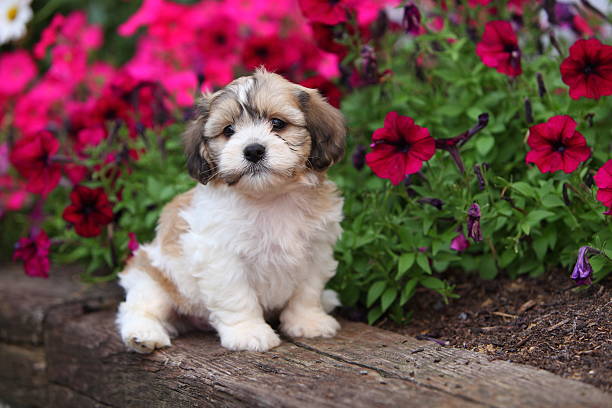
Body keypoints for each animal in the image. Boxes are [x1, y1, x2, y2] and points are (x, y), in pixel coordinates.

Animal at [115, 68, 344, 352]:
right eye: (229, 130)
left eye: (278, 123)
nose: (253, 150)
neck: (270, 197)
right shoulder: (221, 257)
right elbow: (237, 297)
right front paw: (248, 332)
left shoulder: (316, 250)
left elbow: (307, 291)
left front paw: (308, 321)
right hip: (153, 278)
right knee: (139, 307)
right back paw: (143, 334)